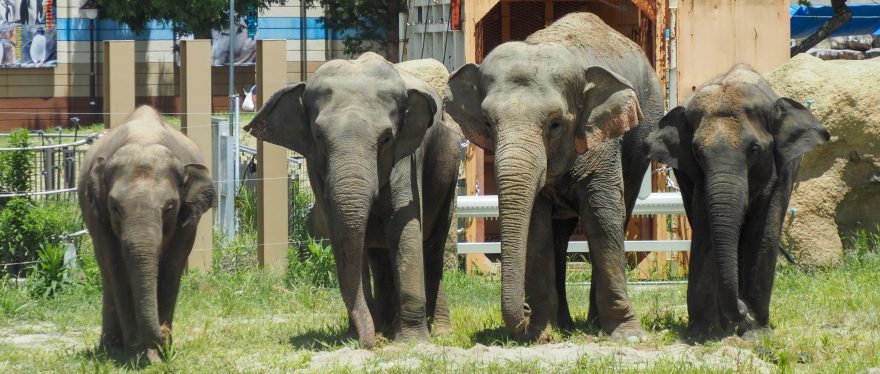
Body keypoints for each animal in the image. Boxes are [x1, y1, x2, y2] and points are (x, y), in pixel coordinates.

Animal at [78, 106, 217, 362]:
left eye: (170, 208)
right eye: (115, 208)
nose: (163, 332)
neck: (143, 140)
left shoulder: (186, 223)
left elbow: (172, 268)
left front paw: (161, 354)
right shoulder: (99, 217)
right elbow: (117, 269)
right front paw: (138, 355)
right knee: (106, 272)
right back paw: (110, 349)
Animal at [242, 51, 460, 348]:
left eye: (387, 138)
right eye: (319, 136)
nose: (372, 342)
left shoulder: (407, 159)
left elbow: (405, 230)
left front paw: (411, 343)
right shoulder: (315, 166)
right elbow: (341, 235)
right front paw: (359, 336)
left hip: (449, 173)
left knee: (431, 248)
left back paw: (439, 332)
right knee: (379, 256)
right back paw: (387, 324)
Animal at [446, 12, 660, 338]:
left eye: (556, 124)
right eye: (487, 122)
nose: (524, 309)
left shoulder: (601, 138)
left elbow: (603, 216)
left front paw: (628, 334)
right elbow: (536, 228)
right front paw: (541, 332)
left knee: (619, 214)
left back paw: (592, 323)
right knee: (559, 237)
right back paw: (565, 324)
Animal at [644, 65, 828, 338]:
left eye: (754, 150)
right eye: (697, 152)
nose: (743, 308)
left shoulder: (781, 170)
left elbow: (763, 232)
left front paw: (755, 331)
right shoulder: (696, 178)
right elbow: (706, 228)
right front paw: (704, 333)